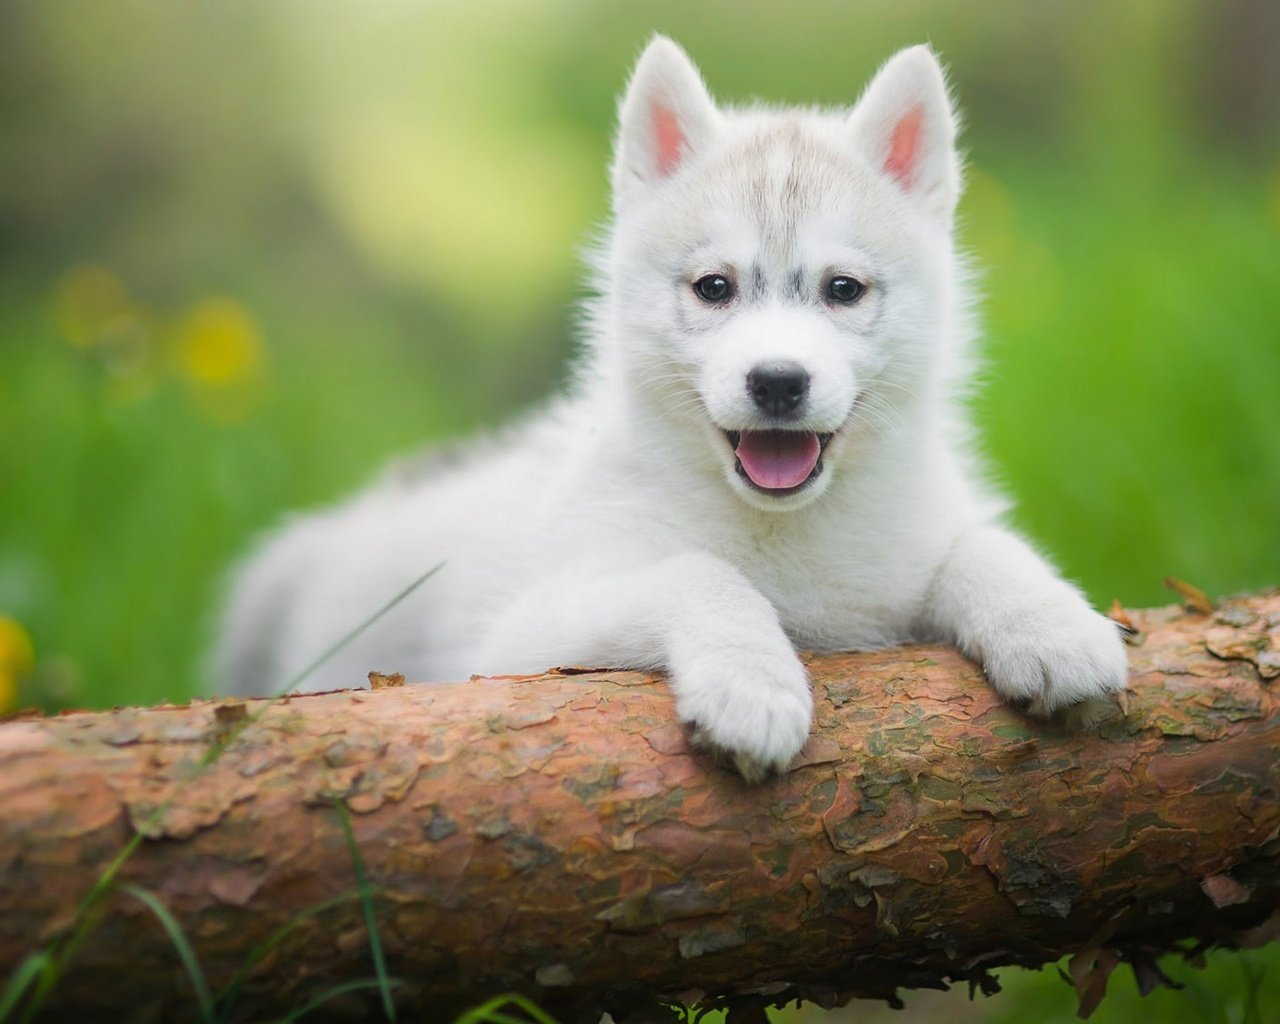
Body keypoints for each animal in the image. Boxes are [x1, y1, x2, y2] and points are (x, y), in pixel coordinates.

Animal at [215, 36, 1126, 778]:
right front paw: (753, 683)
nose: (778, 382)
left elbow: (981, 544)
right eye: (714, 288)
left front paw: (1054, 624)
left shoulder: (910, 549)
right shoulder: (525, 633)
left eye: (843, 289)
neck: (782, 534)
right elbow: (699, 572)